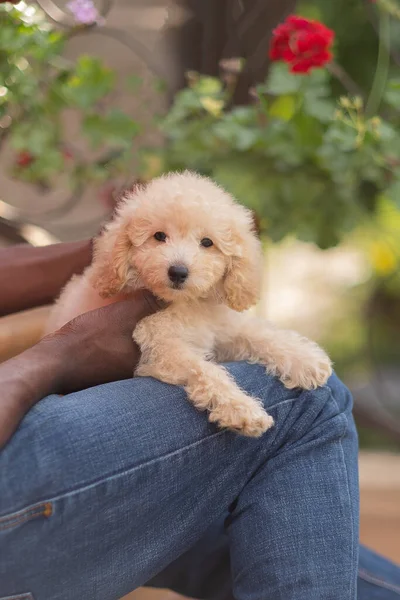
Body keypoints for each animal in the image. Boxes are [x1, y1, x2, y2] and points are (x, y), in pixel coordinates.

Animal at [46, 171, 332, 438]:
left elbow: (259, 335)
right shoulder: (162, 348)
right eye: (159, 236)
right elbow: (205, 369)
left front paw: (305, 359)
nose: (178, 271)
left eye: (207, 242)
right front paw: (241, 409)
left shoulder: (223, 329)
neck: (185, 304)